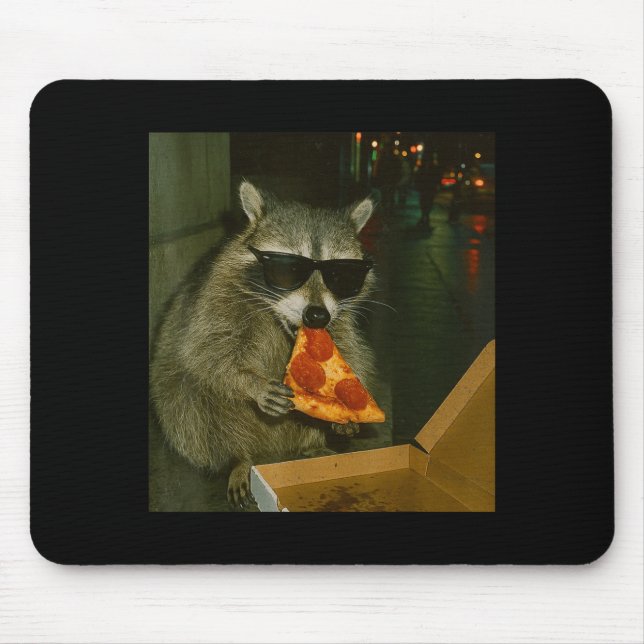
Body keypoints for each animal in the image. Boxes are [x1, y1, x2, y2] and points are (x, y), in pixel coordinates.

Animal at [150, 181, 378, 507]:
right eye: (289, 269)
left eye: (340, 274)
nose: (317, 315)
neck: (280, 321)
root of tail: (271, 450)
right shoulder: (215, 301)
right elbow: (206, 352)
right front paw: (250, 382)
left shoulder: (339, 322)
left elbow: (350, 351)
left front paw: (346, 405)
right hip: (178, 400)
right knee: (193, 405)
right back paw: (239, 457)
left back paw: (309, 447)